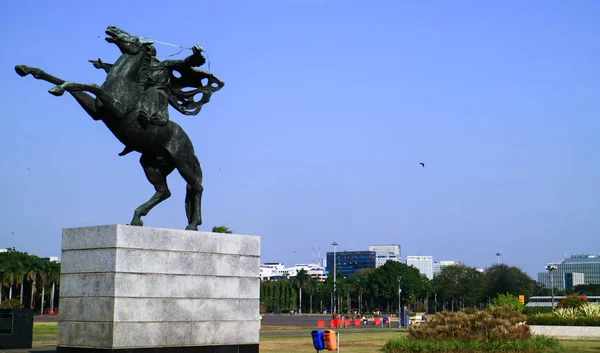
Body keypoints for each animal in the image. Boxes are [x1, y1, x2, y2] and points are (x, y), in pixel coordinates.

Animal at [15, 25, 225, 231]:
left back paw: (191, 225)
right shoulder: (96, 112)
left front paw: (58, 89)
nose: (111, 28)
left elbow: (91, 85)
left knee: (196, 187)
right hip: (151, 164)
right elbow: (64, 81)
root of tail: (189, 143)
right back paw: (137, 218)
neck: (123, 82)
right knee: (164, 191)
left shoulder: (116, 109)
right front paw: (27, 70)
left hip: (182, 161)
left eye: (135, 38)